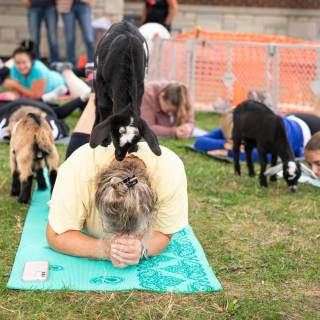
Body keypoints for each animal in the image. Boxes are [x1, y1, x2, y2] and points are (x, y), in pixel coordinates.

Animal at [89, 20, 161, 160]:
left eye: (135, 141)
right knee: (97, 108)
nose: (119, 157)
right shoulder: (101, 86)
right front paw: (104, 142)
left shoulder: (140, 87)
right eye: (115, 138)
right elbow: (104, 109)